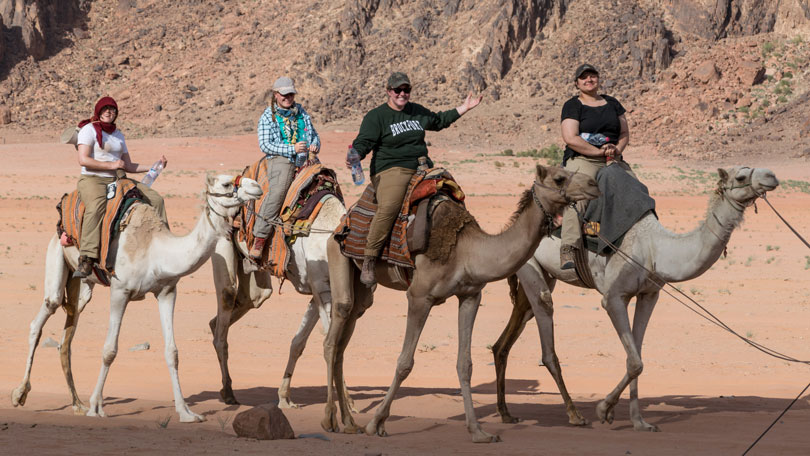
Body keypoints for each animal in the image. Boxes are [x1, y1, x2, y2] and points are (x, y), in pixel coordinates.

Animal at [11, 174, 263, 422]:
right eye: (226, 183)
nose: (257, 186)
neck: (155, 250)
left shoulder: (167, 292)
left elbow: (172, 352)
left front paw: (186, 412)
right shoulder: (119, 291)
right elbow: (109, 350)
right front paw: (96, 407)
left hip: (80, 288)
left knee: (67, 334)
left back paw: (77, 404)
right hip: (57, 254)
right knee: (43, 315)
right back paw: (20, 394)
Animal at [208, 194, 348, 408]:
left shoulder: (318, 292)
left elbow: (298, 343)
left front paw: (284, 397)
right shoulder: (321, 286)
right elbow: (331, 339)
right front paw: (347, 403)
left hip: (252, 270)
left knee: (250, 299)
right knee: (226, 300)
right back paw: (229, 392)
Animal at [321, 164, 600, 443]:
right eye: (559, 178)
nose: (593, 185)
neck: (467, 250)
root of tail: (343, 222)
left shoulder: (470, 295)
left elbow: (465, 364)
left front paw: (478, 431)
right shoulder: (419, 296)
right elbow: (404, 362)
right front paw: (376, 423)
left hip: (361, 289)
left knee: (344, 340)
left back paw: (349, 423)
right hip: (337, 255)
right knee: (333, 336)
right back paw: (330, 420)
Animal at [491, 166, 779, 431]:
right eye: (740, 176)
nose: (771, 176)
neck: (656, 249)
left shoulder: (649, 294)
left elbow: (637, 357)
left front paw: (639, 422)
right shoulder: (614, 297)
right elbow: (634, 361)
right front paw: (604, 409)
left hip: (537, 275)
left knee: (505, 339)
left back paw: (506, 413)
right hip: (531, 269)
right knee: (546, 327)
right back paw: (574, 415)